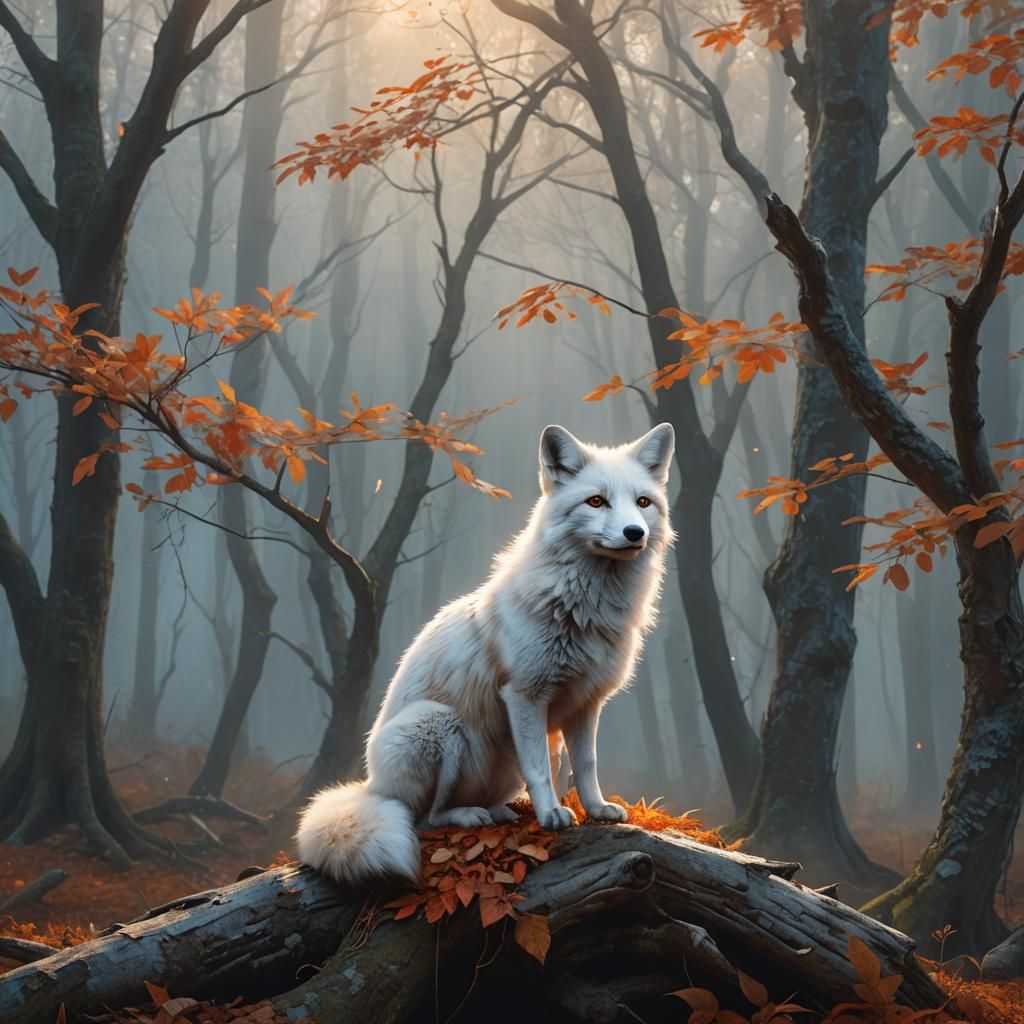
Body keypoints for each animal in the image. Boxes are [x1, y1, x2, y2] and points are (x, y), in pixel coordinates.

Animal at [295, 421, 675, 886]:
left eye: (643, 503)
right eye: (596, 501)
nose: (634, 533)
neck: (583, 609)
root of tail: (370, 786)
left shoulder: (585, 703)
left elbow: (586, 766)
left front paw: (598, 810)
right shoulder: (525, 695)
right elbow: (541, 771)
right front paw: (552, 815)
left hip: (504, 762)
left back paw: (498, 811)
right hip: (438, 725)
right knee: (424, 818)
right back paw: (467, 815)